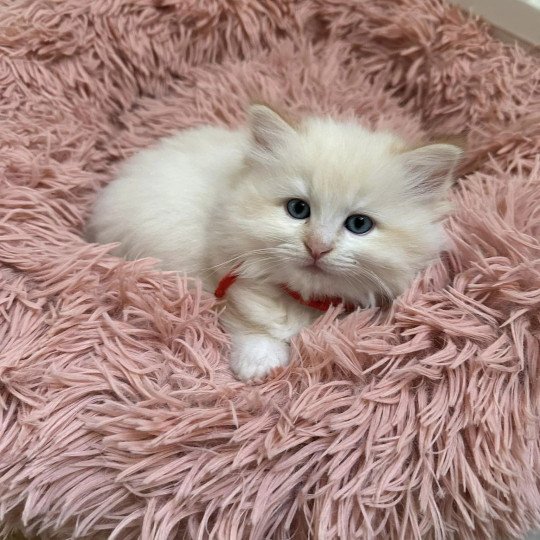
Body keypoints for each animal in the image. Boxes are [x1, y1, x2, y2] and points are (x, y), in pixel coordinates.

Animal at [86, 105, 462, 380]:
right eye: (298, 209)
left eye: (359, 224)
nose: (317, 247)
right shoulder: (227, 271)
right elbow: (251, 320)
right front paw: (260, 365)